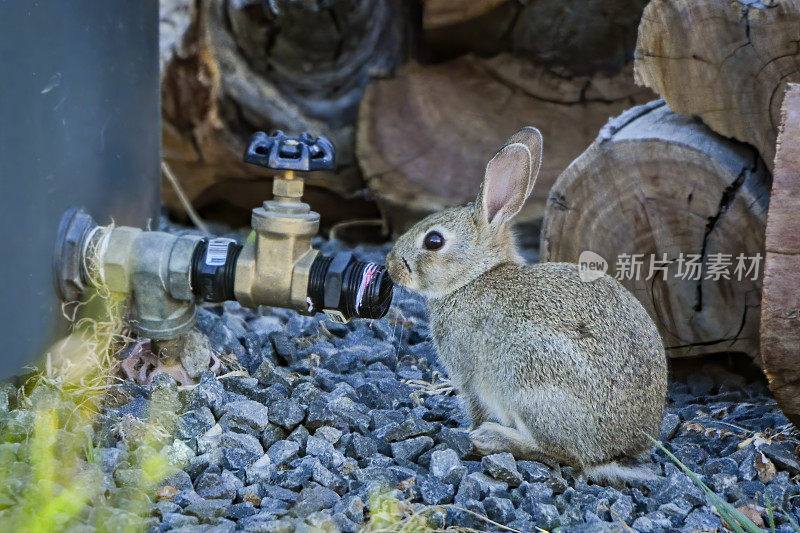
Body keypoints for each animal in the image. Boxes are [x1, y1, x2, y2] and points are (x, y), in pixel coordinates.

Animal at [388, 128, 668, 482]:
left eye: (434, 241)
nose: (390, 266)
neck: (474, 277)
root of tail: (615, 451)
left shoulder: (470, 378)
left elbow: (474, 407)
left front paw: (471, 430)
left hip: (528, 383)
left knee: (563, 454)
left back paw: (490, 439)